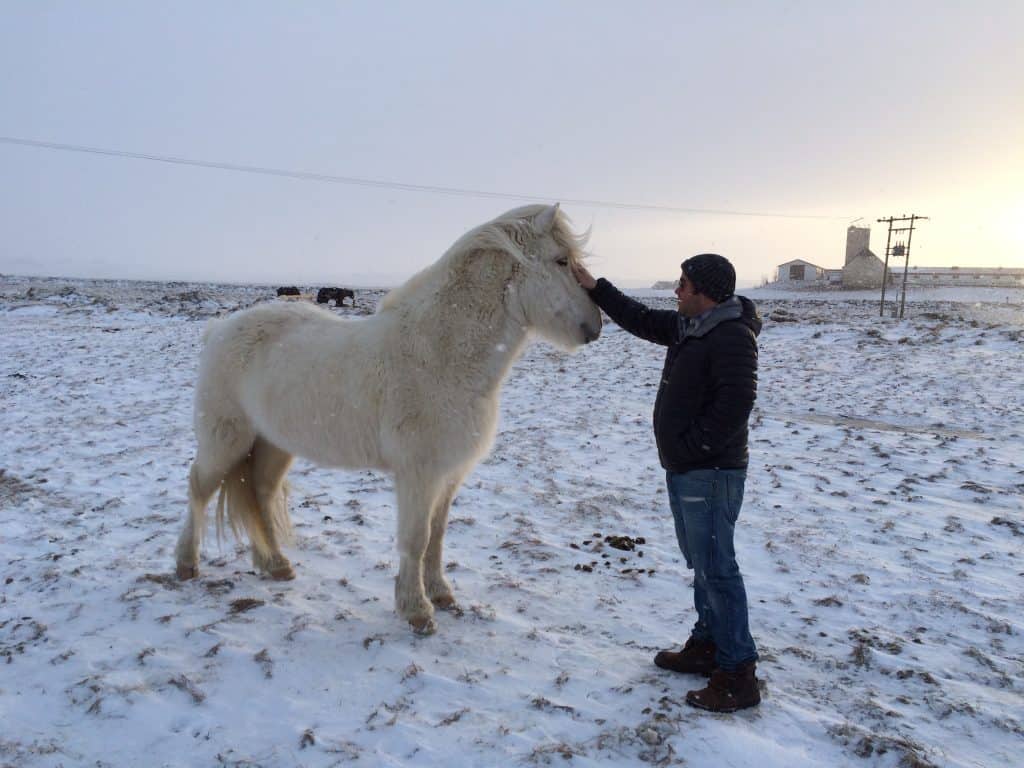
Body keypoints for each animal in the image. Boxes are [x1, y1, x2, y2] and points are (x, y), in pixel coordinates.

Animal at [174, 202, 598, 630]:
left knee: (260, 492)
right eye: (561, 261)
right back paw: (186, 566)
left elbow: (437, 535)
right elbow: (416, 538)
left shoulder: (447, 474)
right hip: (226, 440)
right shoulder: (418, 473)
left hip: (274, 444)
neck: (441, 355)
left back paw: (275, 565)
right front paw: (416, 610)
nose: (594, 327)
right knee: (199, 489)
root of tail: (219, 329)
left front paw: (440, 593)